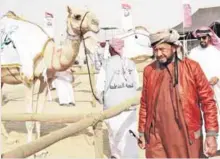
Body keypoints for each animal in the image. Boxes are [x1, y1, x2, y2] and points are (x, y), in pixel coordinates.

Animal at [0, 6, 99, 144]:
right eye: (77, 16)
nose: (96, 23)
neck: (48, 54)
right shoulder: (27, 78)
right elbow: (29, 119)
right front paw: (30, 145)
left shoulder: (44, 79)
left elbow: (38, 115)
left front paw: (39, 143)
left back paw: (8, 138)